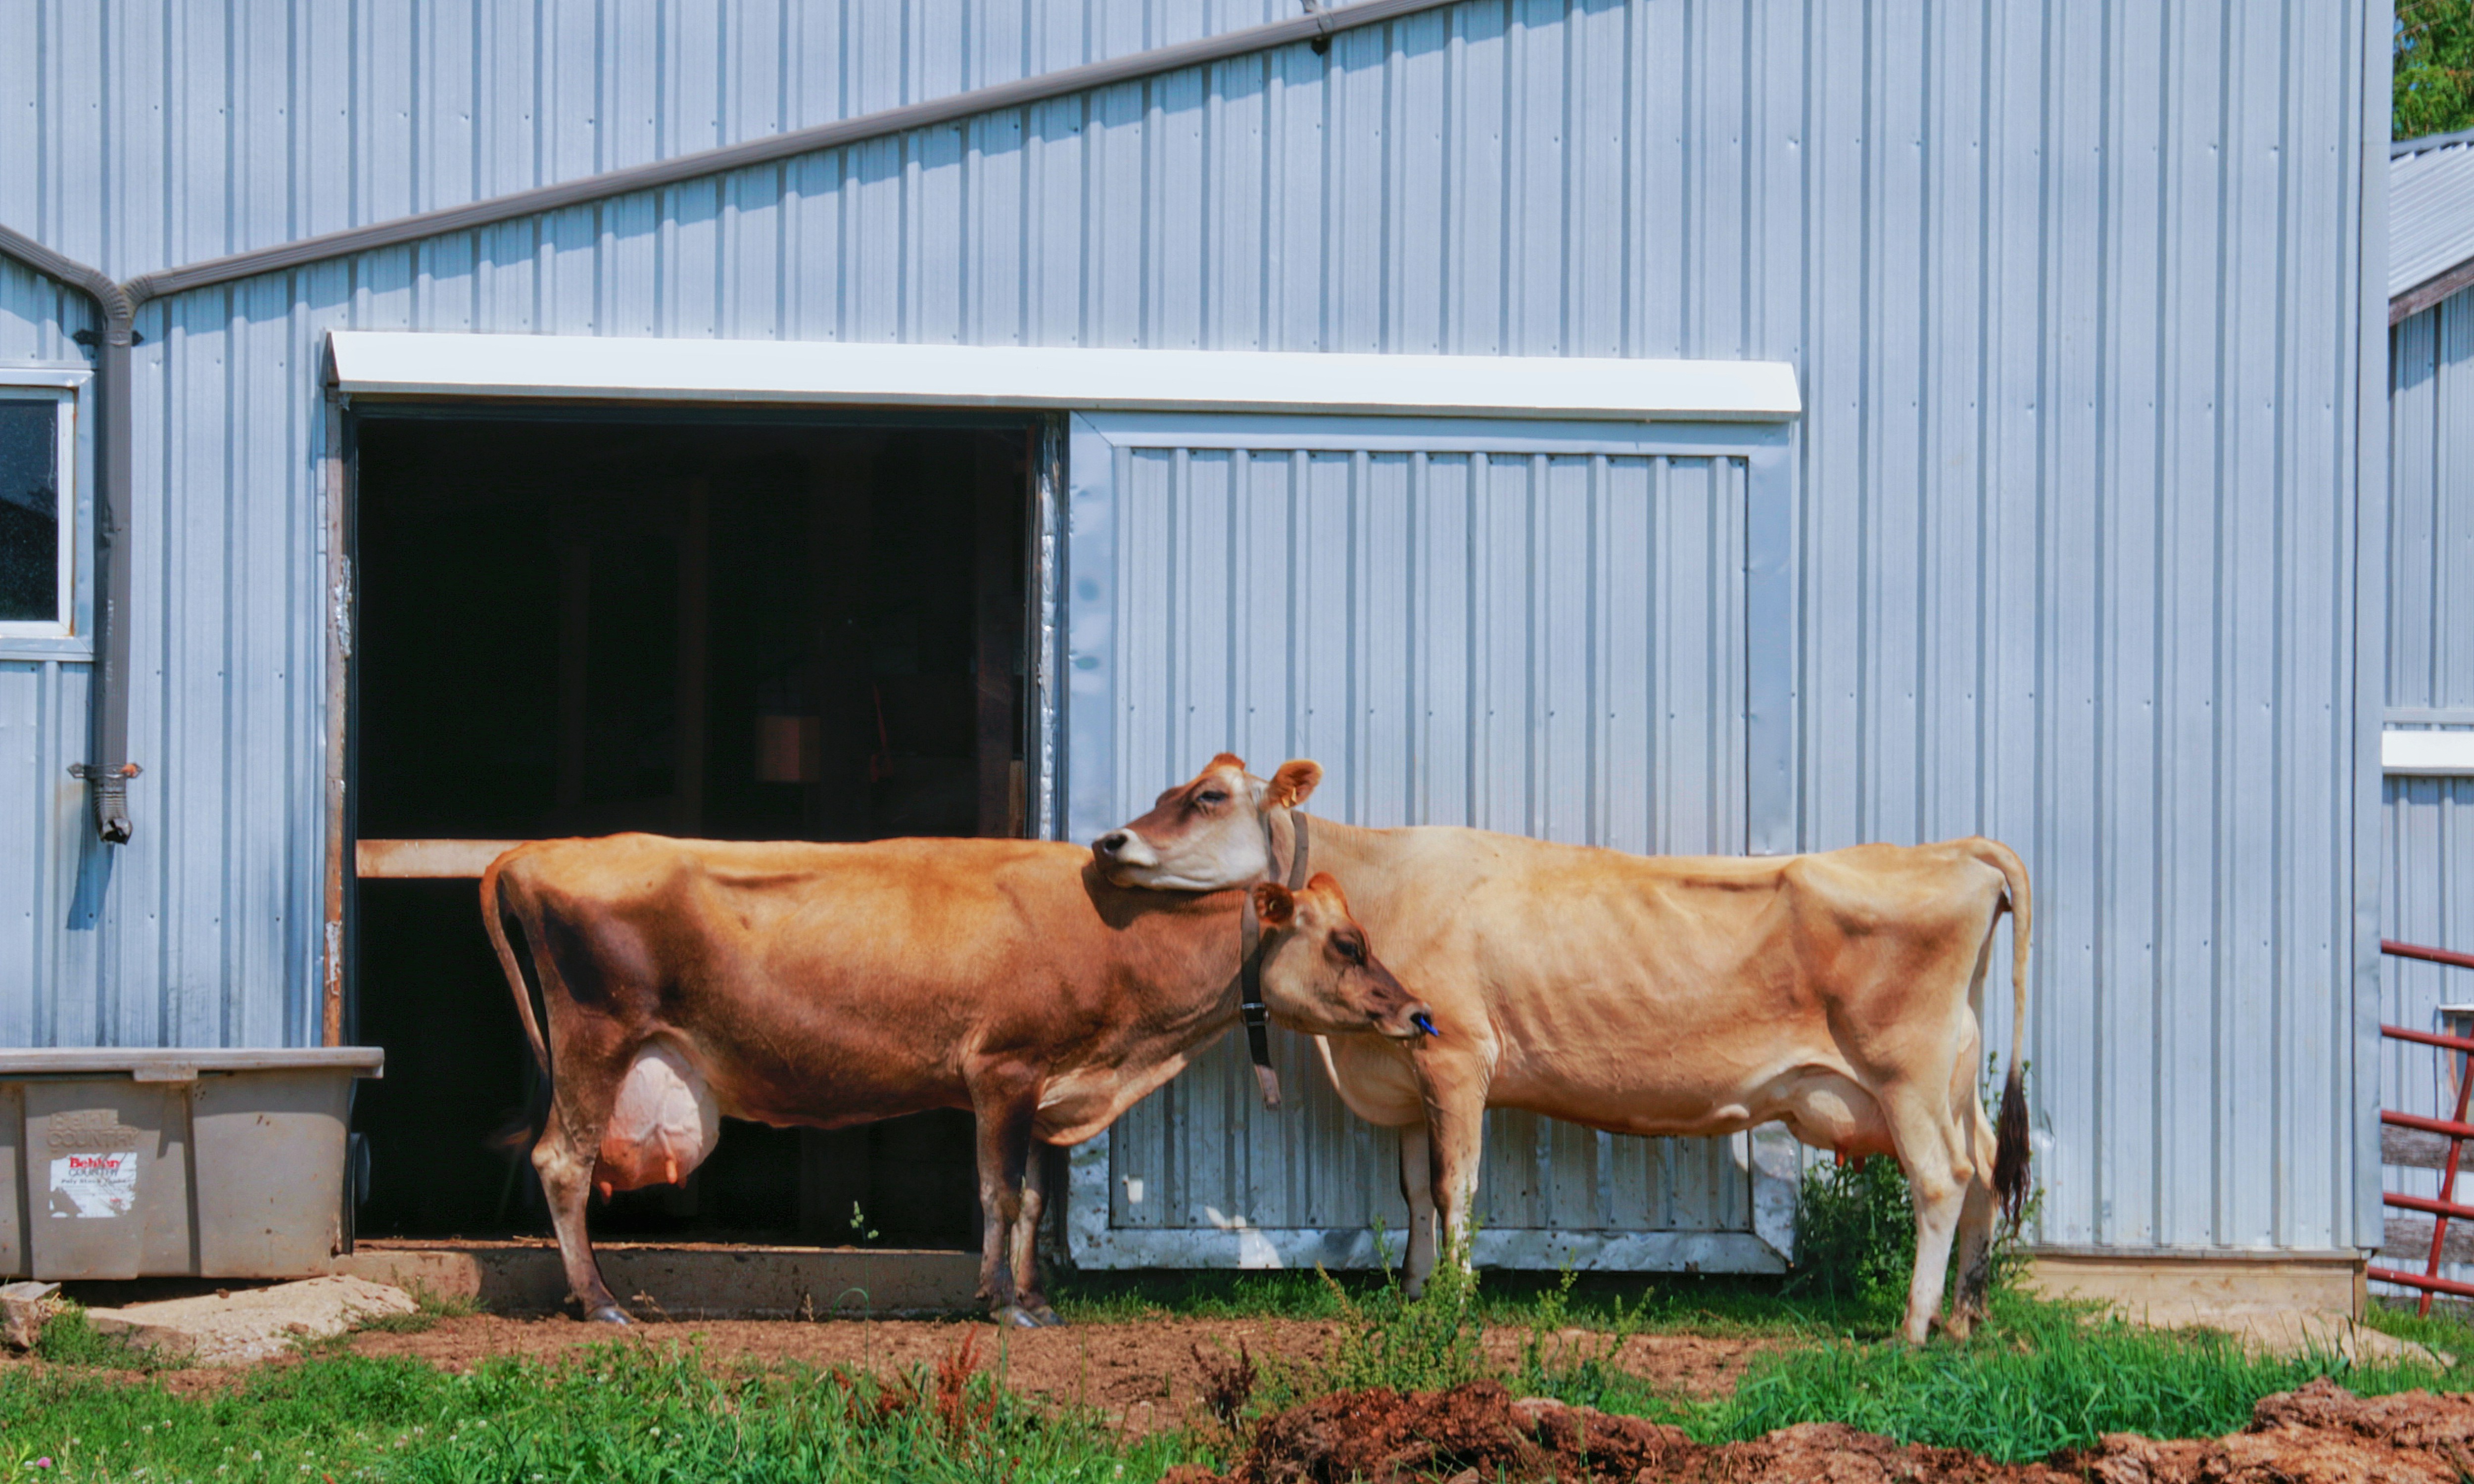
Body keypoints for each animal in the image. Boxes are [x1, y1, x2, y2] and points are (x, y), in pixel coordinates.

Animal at [480, 833, 1432, 1327]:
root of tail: (540, 850)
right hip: (597, 1036)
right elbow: (1000, 1192)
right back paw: (601, 1301)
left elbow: (1035, 1200)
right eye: (1348, 943)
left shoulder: (1045, 1086)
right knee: (562, 1163)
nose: (1417, 1011)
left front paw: (1035, 1297)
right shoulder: (1002, 1068)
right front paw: (1004, 1303)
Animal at [1092, 755, 2032, 1346]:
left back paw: (1911, 1328)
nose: (1108, 843)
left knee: (1942, 1181)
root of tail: (1955, 850)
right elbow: (1414, 1193)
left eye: (1210, 796)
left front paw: (1456, 1300)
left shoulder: (1456, 1055)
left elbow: (1455, 1188)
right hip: (1952, 1072)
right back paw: (1966, 1319)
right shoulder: (1406, 1073)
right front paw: (1414, 1292)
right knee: (1987, 1169)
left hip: (1906, 1071)